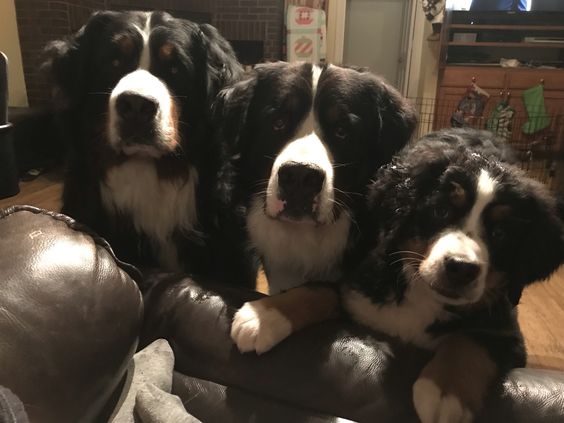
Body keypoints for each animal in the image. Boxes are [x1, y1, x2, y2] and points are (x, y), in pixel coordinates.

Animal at [218, 62, 416, 354]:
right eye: (277, 123)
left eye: (342, 131)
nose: (300, 176)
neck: (305, 236)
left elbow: (320, 290)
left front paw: (264, 316)